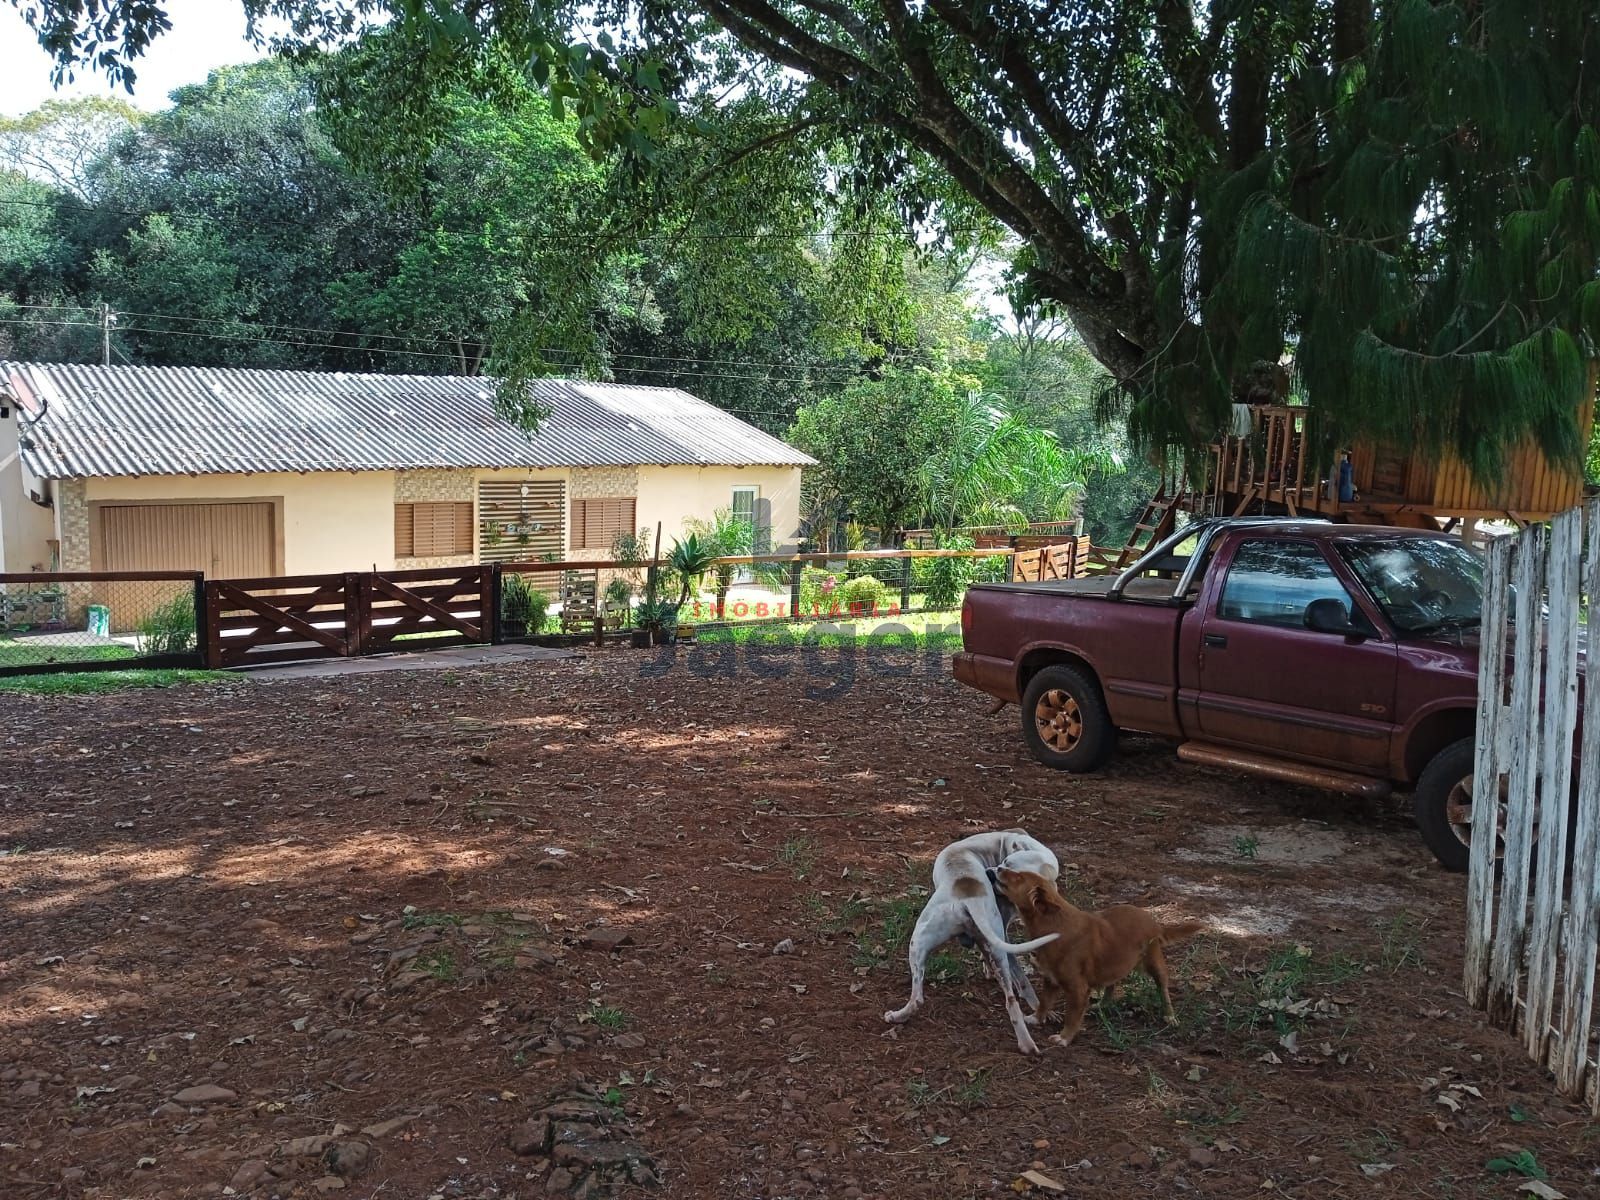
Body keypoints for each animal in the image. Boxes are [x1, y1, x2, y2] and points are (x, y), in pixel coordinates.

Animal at [883, 832, 1056, 1056]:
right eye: (1007, 866)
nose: (989, 873)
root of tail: (969, 897)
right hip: (986, 949)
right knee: (1010, 1001)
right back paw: (1027, 1044)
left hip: (917, 940)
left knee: (918, 997)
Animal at [992, 864, 1203, 1049]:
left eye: (1019, 877)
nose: (998, 868)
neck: (1054, 923)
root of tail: (1153, 920)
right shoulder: (1050, 979)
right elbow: (1044, 1002)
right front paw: (1035, 1019)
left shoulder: (1077, 989)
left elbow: (1071, 1016)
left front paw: (1064, 1038)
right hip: (1114, 962)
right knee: (1112, 984)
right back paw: (1102, 1004)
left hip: (1154, 963)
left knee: (1163, 989)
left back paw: (1170, 1016)